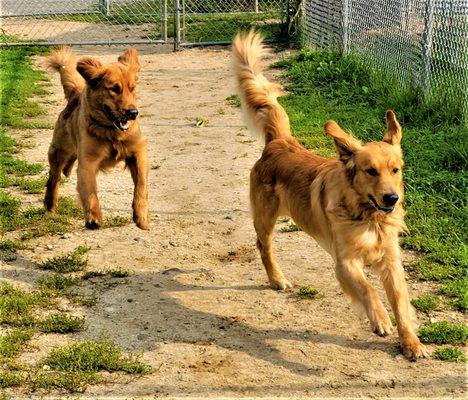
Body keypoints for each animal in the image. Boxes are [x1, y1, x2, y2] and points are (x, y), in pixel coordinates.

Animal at [44, 47, 149, 230]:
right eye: (115, 89)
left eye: (132, 88)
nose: (133, 113)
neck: (111, 132)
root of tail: (76, 93)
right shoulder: (88, 162)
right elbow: (90, 191)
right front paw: (93, 217)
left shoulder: (139, 151)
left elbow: (141, 185)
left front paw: (141, 215)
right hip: (58, 151)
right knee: (53, 177)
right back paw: (50, 202)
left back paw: (67, 170)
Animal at [232, 30, 430, 360]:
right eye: (370, 171)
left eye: (395, 169)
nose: (392, 199)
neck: (367, 216)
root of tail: (280, 142)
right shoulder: (345, 262)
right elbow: (368, 289)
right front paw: (380, 319)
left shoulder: (391, 262)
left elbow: (401, 304)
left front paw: (411, 342)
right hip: (265, 218)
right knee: (263, 246)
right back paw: (276, 278)